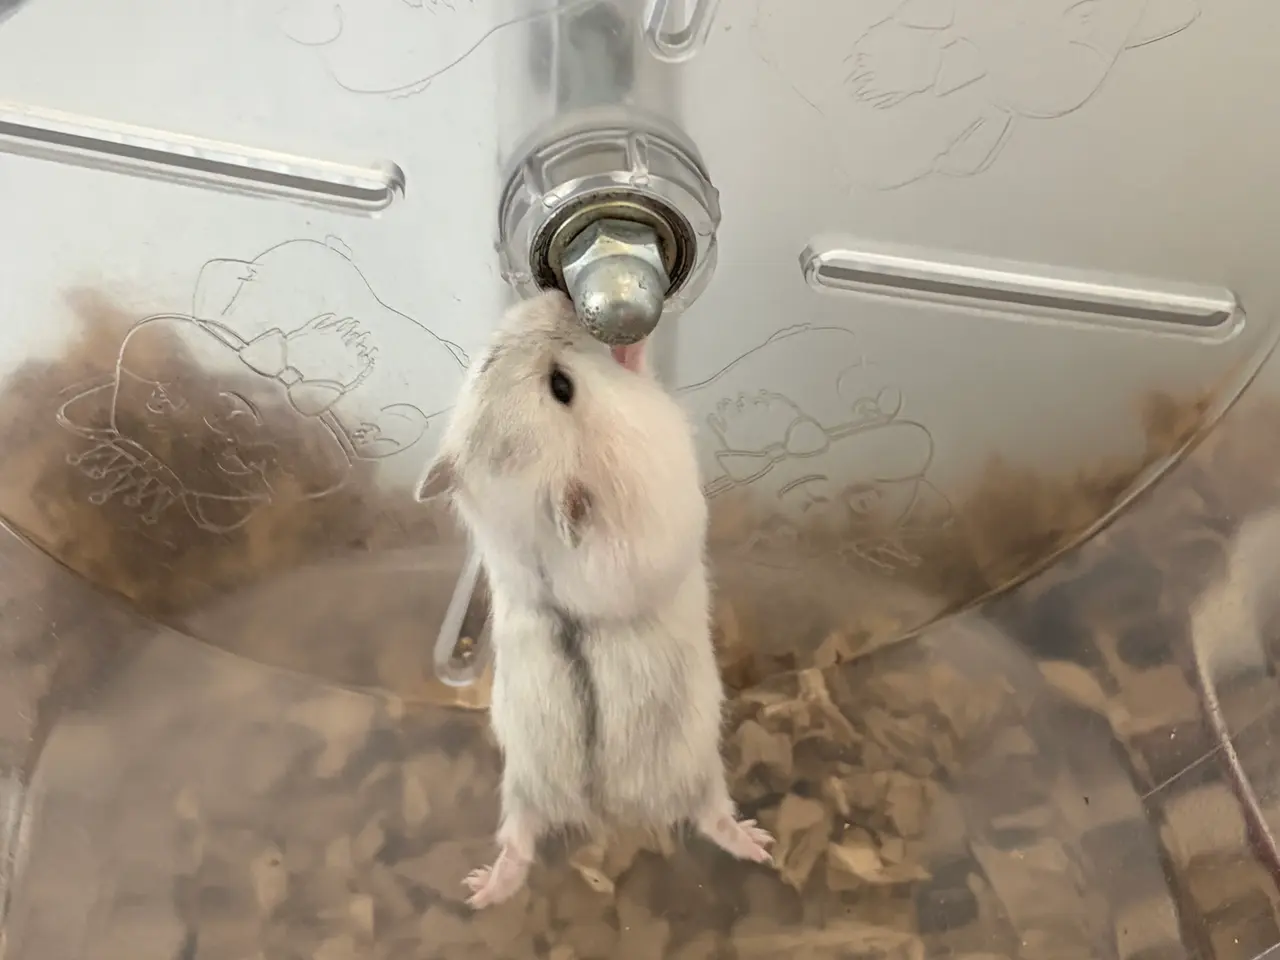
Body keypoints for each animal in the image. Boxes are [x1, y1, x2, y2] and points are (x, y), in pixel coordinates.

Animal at [416, 290, 774, 909]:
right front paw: (630, 344)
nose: (552, 295)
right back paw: (758, 844)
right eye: (561, 387)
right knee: (710, 818)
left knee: (520, 842)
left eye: (486, 364)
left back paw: (482, 890)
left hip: (520, 786)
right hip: (700, 768)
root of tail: (607, 812)